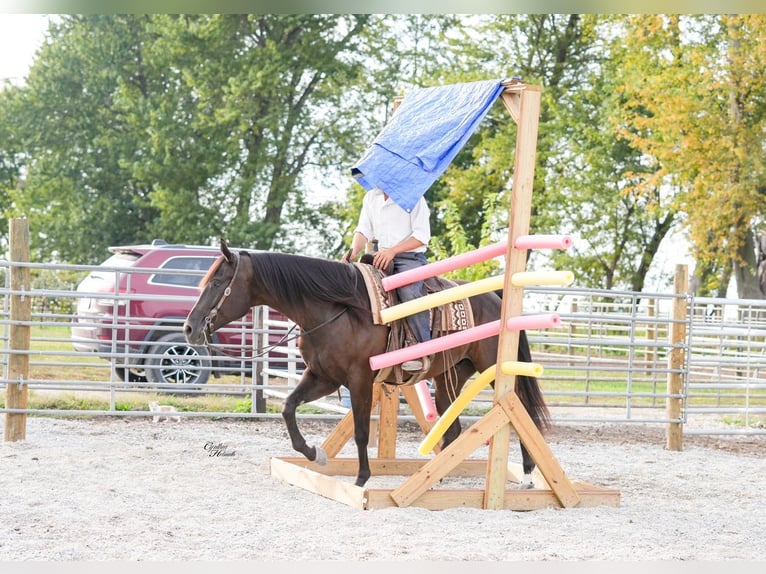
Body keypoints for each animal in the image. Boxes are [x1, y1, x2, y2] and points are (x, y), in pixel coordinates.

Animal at [183, 240, 550, 487]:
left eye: (217, 282)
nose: (189, 328)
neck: (334, 309)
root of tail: (497, 298)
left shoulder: (359, 380)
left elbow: (361, 432)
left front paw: (361, 479)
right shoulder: (323, 376)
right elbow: (288, 407)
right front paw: (314, 453)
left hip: (497, 371)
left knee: (521, 411)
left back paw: (528, 475)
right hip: (450, 376)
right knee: (454, 428)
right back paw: (436, 474)